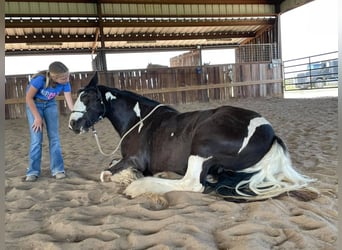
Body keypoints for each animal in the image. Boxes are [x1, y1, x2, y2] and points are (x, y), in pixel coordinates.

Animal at [69, 72, 316, 201]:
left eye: (88, 98)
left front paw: (130, 179)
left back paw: (142, 186)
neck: (138, 121)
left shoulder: (135, 159)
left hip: (201, 146)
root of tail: (269, 134)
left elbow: (105, 173)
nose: (72, 124)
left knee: (192, 184)